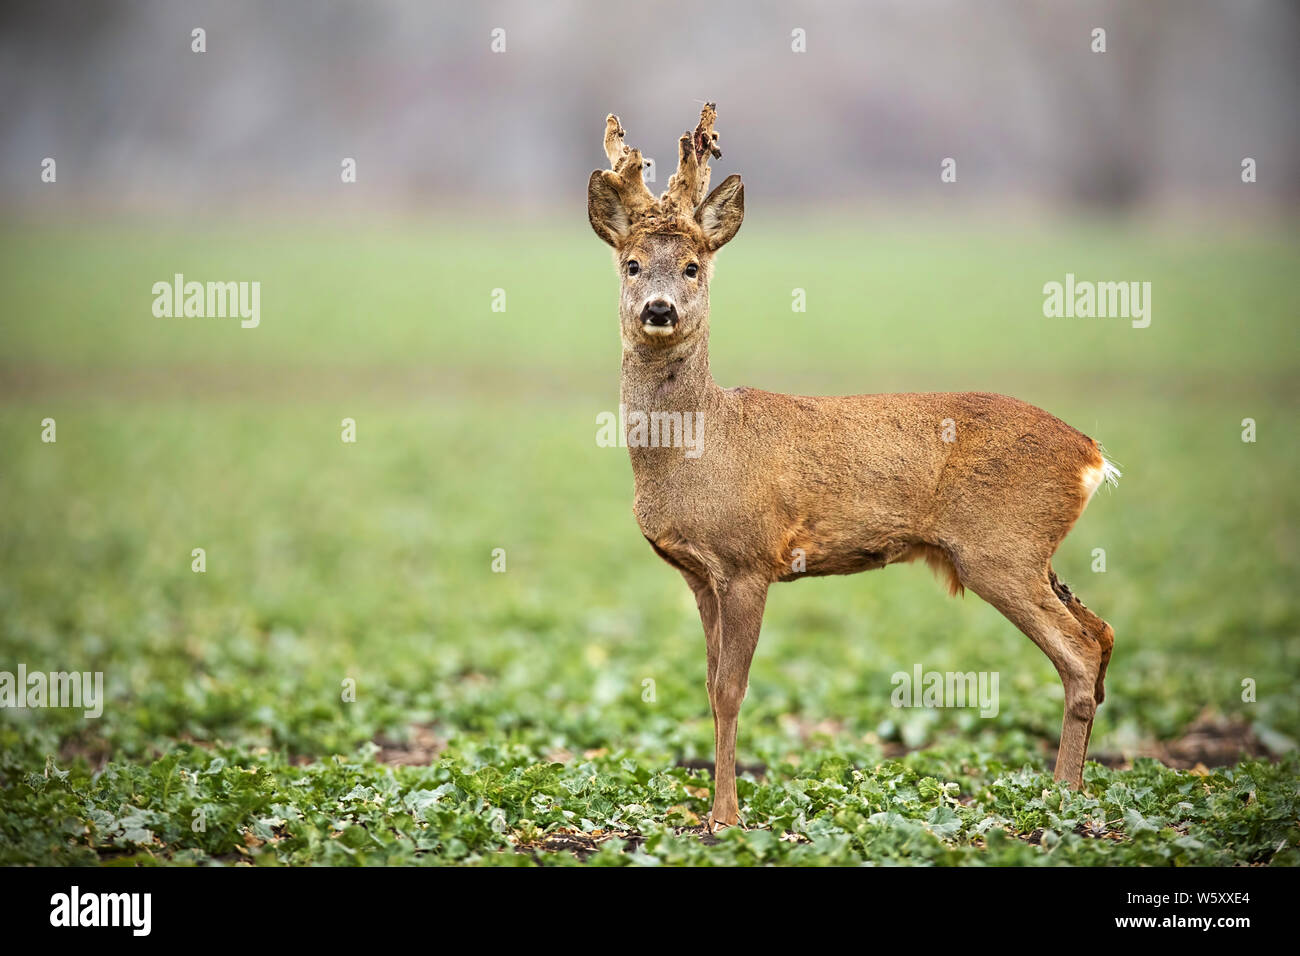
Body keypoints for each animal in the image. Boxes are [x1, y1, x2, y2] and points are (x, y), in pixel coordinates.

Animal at [590, 104, 1118, 832]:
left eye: (694, 267)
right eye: (633, 263)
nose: (660, 309)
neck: (700, 445)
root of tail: (1091, 454)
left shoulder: (749, 558)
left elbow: (731, 690)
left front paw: (725, 817)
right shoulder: (699, 572)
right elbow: (707, 683)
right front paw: (714, 811)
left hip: (1000, 547)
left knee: (1079, 649)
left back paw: (1062, 800)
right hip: (1032, 551)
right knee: (1102, 630)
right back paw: (1076, 793)